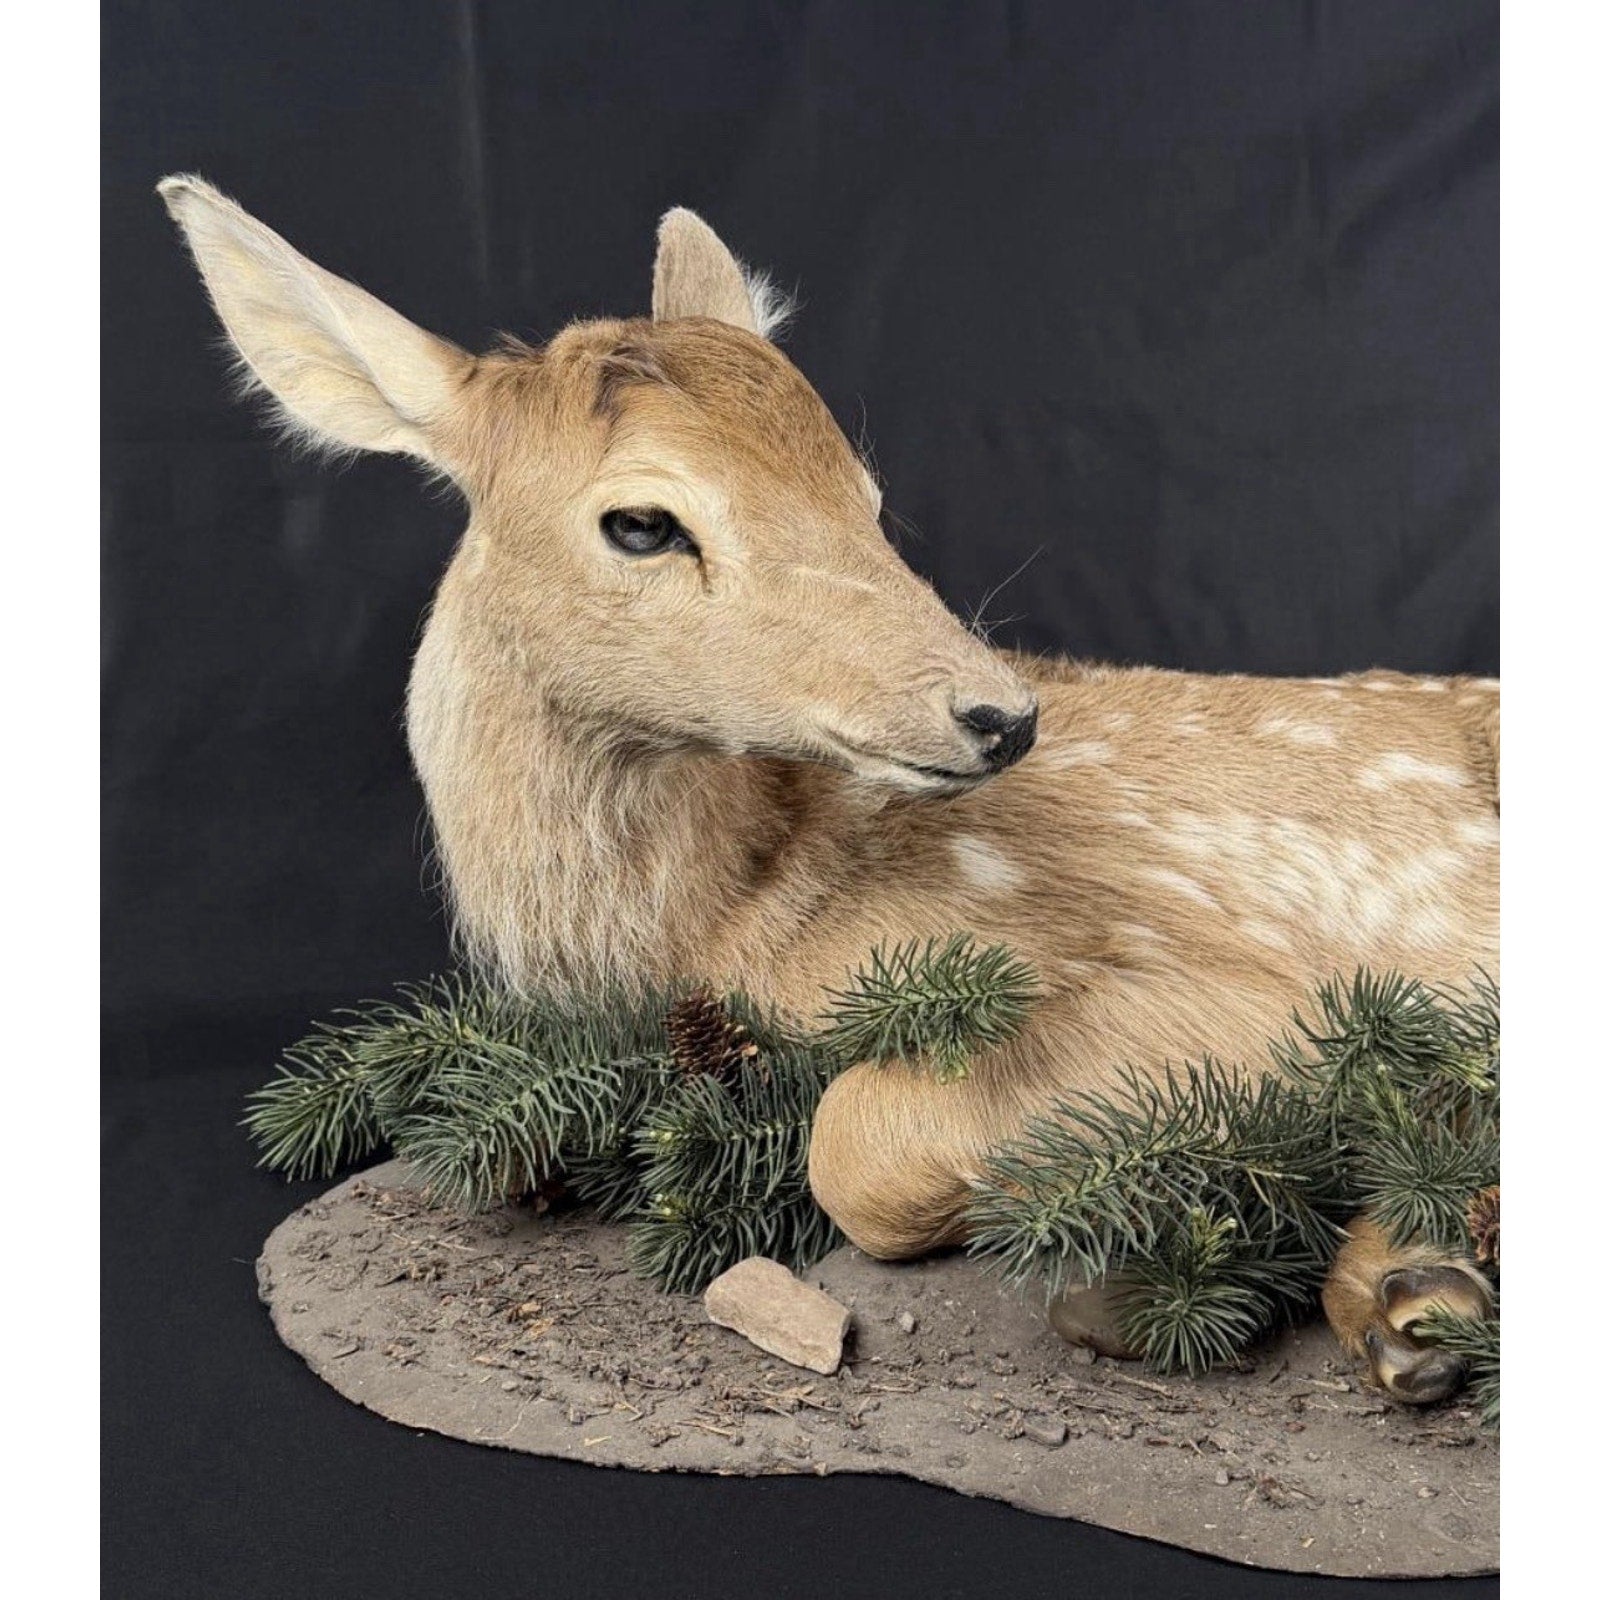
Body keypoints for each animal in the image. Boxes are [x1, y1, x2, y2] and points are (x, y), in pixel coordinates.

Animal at [159, 176, 1498, 1404]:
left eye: (861, 492)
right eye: (640, 523)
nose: (1001, 713)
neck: (718, 925)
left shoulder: (1248, 980)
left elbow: (847, 1141)